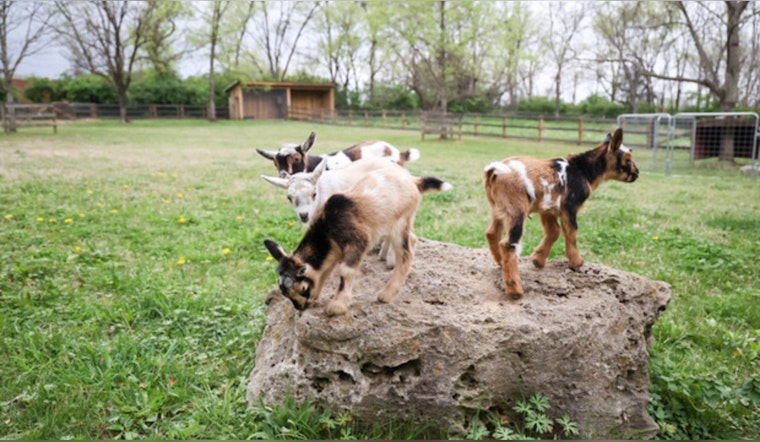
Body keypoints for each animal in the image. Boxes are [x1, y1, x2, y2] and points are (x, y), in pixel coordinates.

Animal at [264, 164, 452, 316]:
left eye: (302, 288)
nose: (300, 307)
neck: (327, 228)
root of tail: (415, 181)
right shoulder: (333, 251)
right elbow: (326, 270)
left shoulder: (358, 241)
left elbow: (345, 271)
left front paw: (337, 306)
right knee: (412, 239)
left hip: (399, 223)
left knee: (407, 253)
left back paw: (386, 295)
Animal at [483, 128, 639, 300]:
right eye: (627, 159)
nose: (636, 173)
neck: (582, 170)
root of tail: (494, 170)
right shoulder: (569, 206)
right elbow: (571, 232)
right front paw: (577, 262)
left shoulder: (548, 209)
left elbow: (554, 231)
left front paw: (538, 259)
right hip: (516, 210)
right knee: (508, 244)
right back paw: (515, 290)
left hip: (499, 209)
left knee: (492, 233)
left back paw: (500, 263)